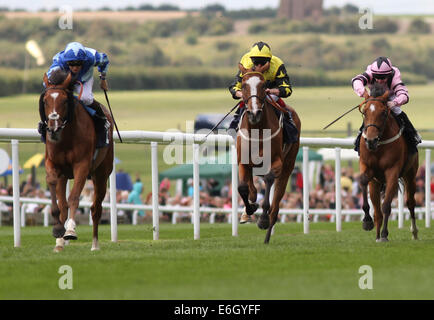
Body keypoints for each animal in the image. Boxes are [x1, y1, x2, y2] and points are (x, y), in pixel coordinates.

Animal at [40, 70, 113, 252]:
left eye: (65, 100)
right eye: (45, 101)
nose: (54, 127)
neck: (66, 137)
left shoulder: (82, 165)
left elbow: (73, 197)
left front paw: (71, 230)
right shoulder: (53, 164)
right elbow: (56, 192)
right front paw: (58, 230)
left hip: (101, 174)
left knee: (96, 208)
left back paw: (94, 244)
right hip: (66, 175)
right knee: (64, 205)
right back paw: (60, 243)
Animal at [236, 63, 300, 244]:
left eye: (263, 85)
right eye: (244, 85)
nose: (254, 113)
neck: (257, 130)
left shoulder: (276, 162)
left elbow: (269, 181)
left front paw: (262, 219)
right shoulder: (243, 161)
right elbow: (243, 187)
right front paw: (250, 208)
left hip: (288, 166)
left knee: (276, 204)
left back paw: (267, 233)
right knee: (252, 187)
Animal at [358, 84, 418, 241]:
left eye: (384, 112)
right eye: (364, 112)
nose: (371, 140)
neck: (380, 145)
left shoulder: (392, 171)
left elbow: (386, 206)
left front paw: (385, 234)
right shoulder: (367, 167)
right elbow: (362, 180)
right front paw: (367, 221)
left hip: (410, 175)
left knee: (410, 203)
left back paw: (414, 233)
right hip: (375, 183)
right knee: (377, 211)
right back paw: (377, 234)